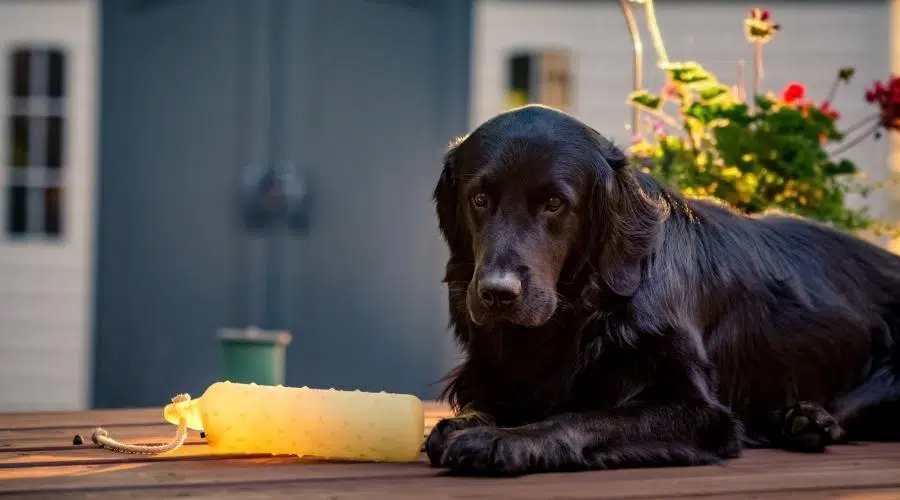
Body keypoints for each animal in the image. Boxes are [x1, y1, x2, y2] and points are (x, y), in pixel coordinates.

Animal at [426, 103, 900, 474]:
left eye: (555, 203)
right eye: (479, 199)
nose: (497, 293)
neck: (587, 311)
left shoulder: (700, 411)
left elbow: (585, 417)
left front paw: (501, 441)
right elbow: (474, 410)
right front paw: (463, 426)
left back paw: (809, 421)